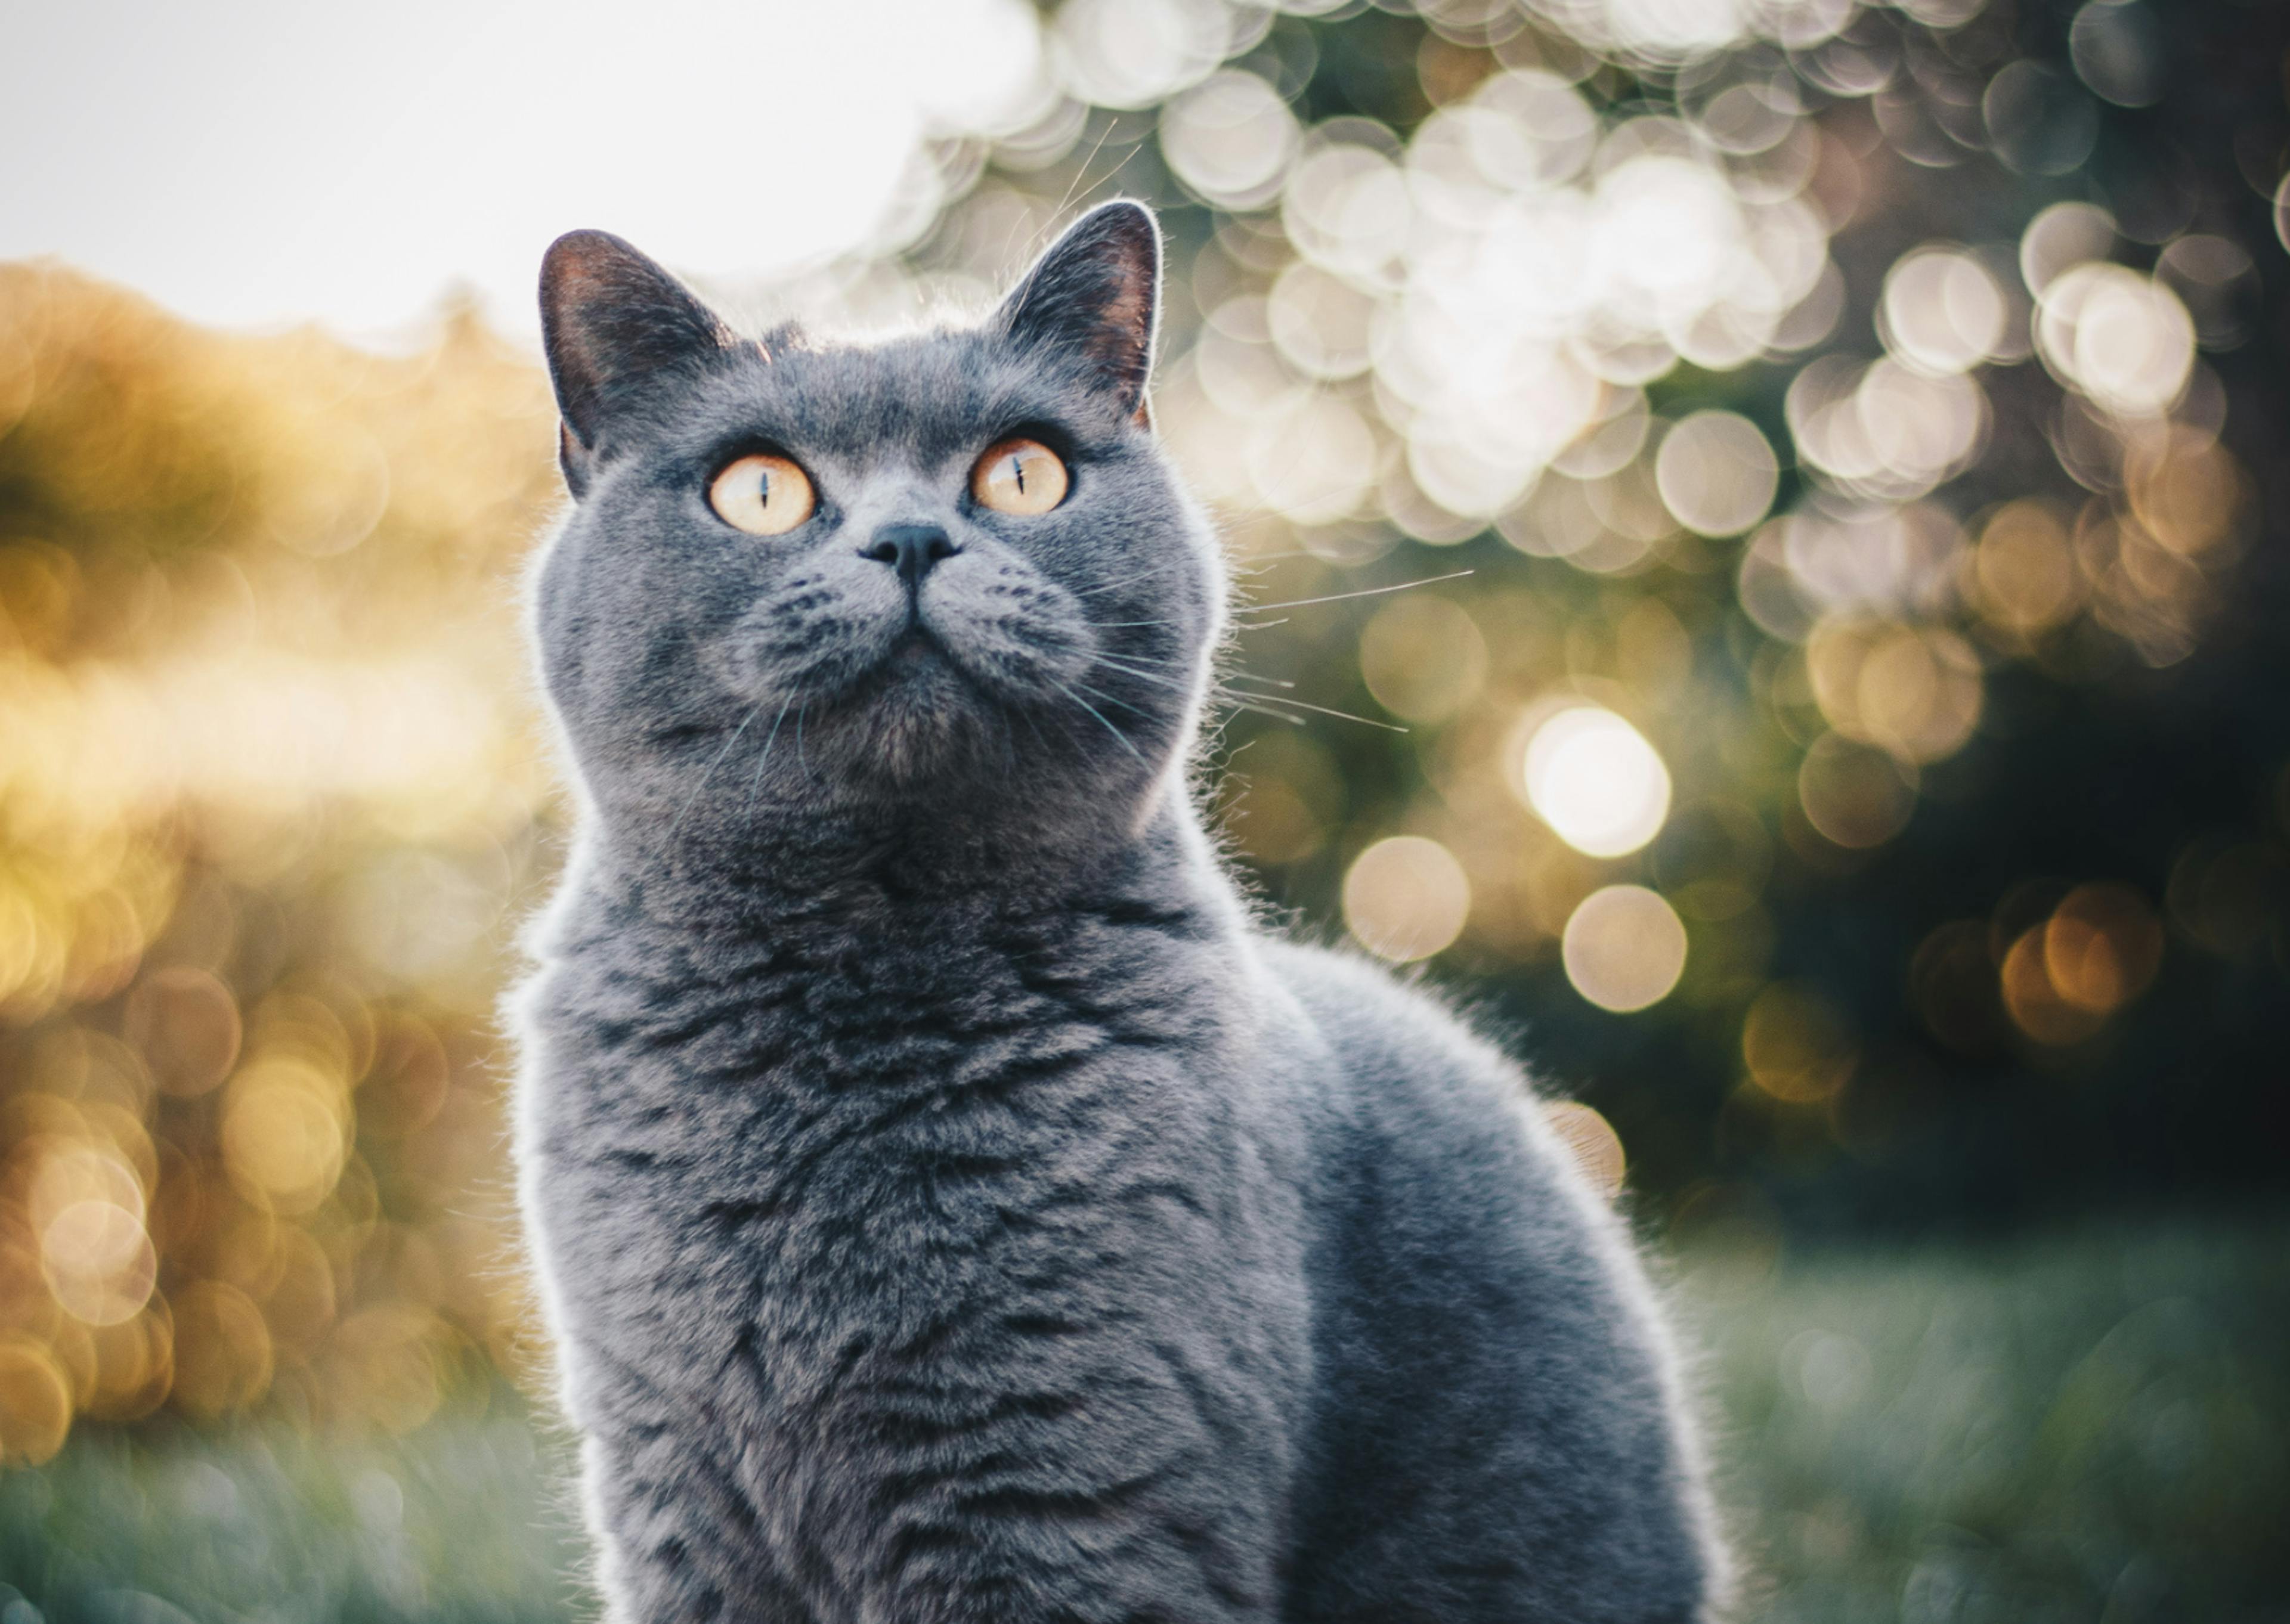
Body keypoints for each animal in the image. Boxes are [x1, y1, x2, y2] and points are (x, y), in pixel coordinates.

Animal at [510, 203, 1722, 1622]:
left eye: (1022, 474)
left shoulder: (1067, 1484)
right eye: (759, 490)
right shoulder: (672, 1487)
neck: (860, 992)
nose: (912, 541)